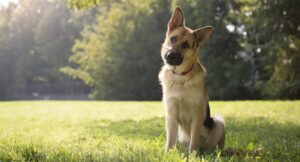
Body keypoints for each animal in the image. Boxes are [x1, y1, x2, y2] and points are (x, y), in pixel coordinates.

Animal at [159, 6, 225, 153]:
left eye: (186, 45)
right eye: (173, 39)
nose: (170, 55)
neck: (180, 76)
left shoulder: (197, 114)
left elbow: (194, 140)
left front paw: (193, 154)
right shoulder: (171, 114)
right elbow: (169, 141)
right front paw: (167, 154)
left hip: (218, 122)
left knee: (212, 146)